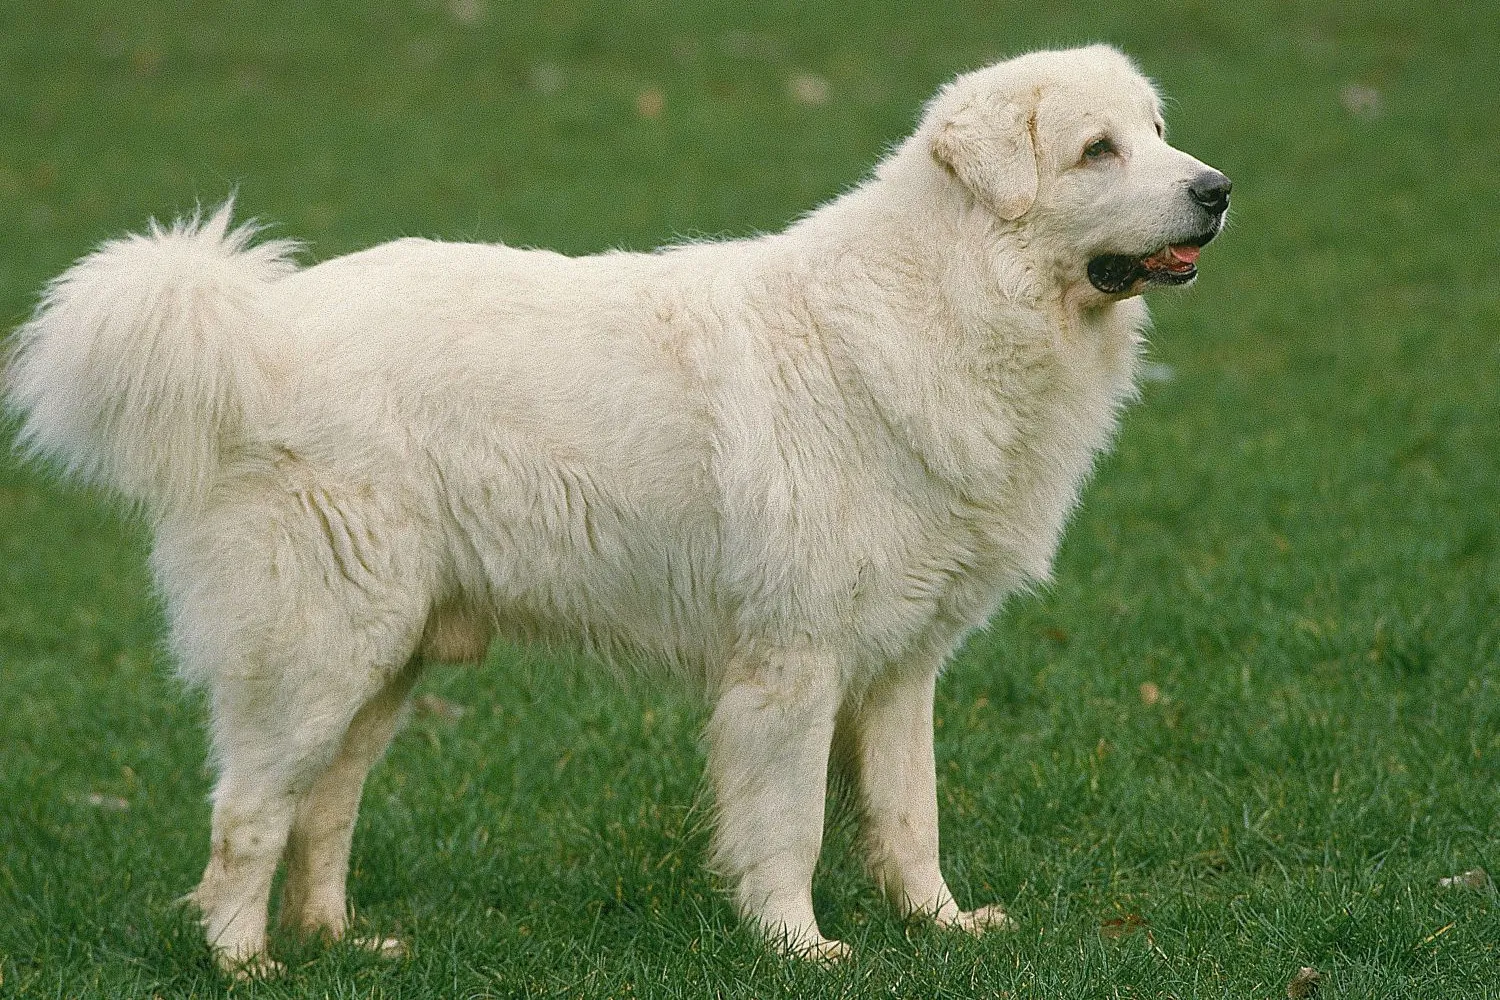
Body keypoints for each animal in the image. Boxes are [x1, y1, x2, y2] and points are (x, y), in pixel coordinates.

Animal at [5, 43, 1230, 971]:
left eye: (1158, 128)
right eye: (1098, 149)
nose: (1217, 189)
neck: (948, 299)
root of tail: (255, 332)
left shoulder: (898, 669)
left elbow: (909, 814)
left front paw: (942, 926)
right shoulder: (791, 664)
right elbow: (790, 824)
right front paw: (800, 948)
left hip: (384, 663)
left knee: (324, 809)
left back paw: (341, 945)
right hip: (317, 654)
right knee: (249, 812)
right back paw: (243, 961)